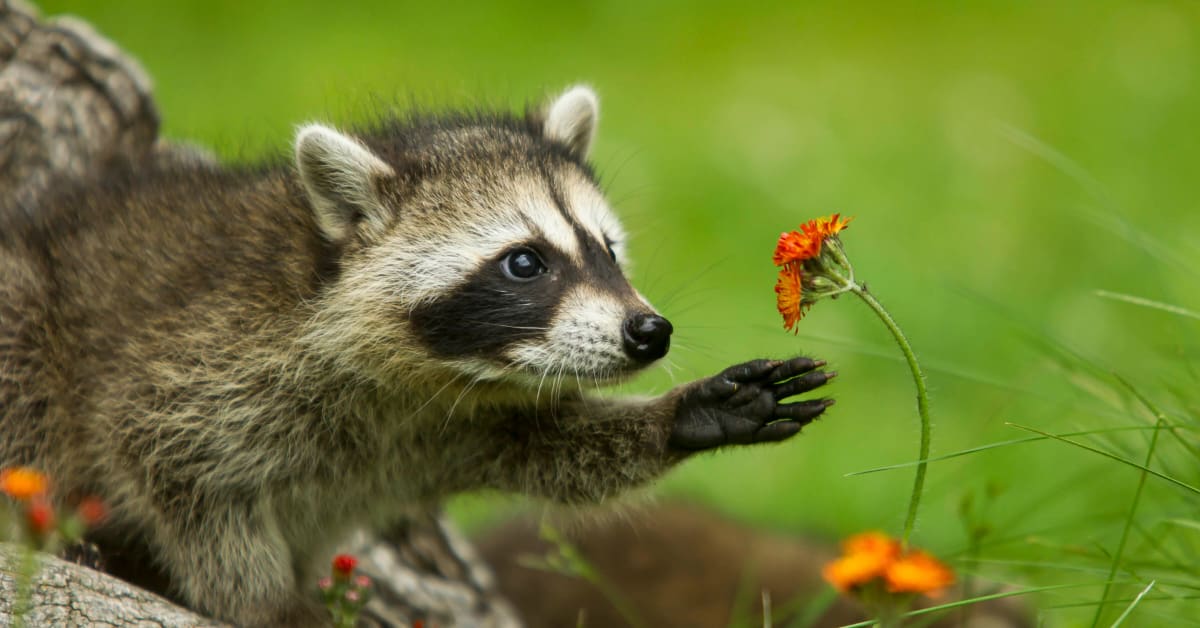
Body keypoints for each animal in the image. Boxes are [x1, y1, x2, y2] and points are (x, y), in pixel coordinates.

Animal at [0, 85, 836, 625]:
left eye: (607, 250)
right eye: (525, 263)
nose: (648, 333)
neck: (425, 375)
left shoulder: (453, 423)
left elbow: (553, 451)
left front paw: (683, 416)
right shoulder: (201, 358)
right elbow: (175, 472)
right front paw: (266, 601)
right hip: (28, 318)